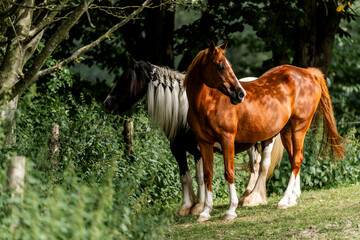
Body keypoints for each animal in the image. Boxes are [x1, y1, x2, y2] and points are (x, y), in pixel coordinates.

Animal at [186, 41, 346, 221]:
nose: (240, 94)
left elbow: (229, 173)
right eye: (221, 66)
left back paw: (284, 200)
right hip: (286, 132)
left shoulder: (227, 140)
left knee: (296, 160)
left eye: (228, 65)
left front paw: (231, 210)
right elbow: (208, 174)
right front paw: (205, 212)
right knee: (294, 159)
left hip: (299, 128)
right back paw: (291, 199)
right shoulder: (204, 143)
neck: (209, 103)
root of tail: (307, 72)